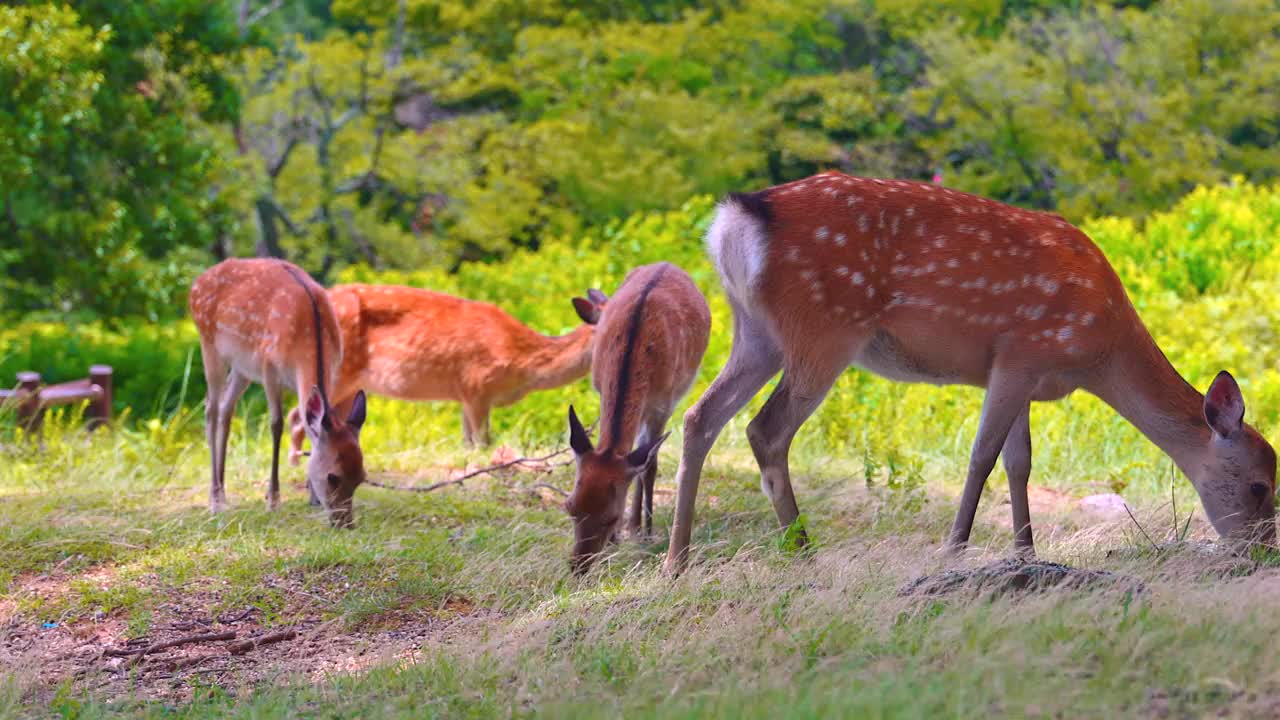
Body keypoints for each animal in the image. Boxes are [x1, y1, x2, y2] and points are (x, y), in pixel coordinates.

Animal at [189, 257, 371, 527]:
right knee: (211, 409)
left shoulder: (335, 366)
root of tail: (196, 283)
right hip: (209, 343)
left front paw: (311, 497)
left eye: (361, 476)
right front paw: (273, 500)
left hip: (242, 366)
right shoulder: (269, 367)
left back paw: (222, 492)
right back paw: (215, 501)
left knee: (225, 408)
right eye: (332, 476)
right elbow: (276, 424)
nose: (345, 523)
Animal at [290, 281, 609, 453]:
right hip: (333, 369)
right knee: (299, 414)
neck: (523, 365)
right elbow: (482, 443)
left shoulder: (465, 396)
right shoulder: (477, 385)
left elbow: (467, 443)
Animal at [565, 260, 716, 573]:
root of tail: (666, 264)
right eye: (570, 507)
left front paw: (643, 530)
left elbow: (650, 464)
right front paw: (620, 538)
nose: (579, 566)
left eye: (612, 517)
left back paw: (640, 527)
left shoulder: (663, 403)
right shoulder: (601, 390)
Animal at [665, 172, 1274, 571]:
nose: (1263, 549)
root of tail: (735, 220)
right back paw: (801, 549)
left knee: (700, 417)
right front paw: (955, 548)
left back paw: (678, 558)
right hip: (824, 329)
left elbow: (1019, 462)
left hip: (757, 333)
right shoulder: (1021, 352)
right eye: (1260, 484)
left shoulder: (1025, 377)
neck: (1099, 349)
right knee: (765, 429)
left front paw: (1025, 551)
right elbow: (982, 455)